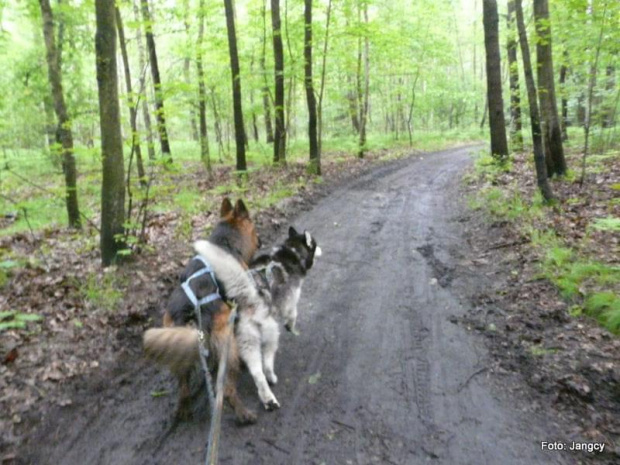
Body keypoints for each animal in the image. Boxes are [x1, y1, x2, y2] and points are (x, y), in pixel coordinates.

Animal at [144, 198, 260, 422]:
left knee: (183, 389)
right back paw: (244, 414)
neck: (224, 244)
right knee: (227, 390)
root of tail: (188, 311)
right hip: (226, 345)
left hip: (178, 348)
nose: (260, 241)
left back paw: (183, 410)